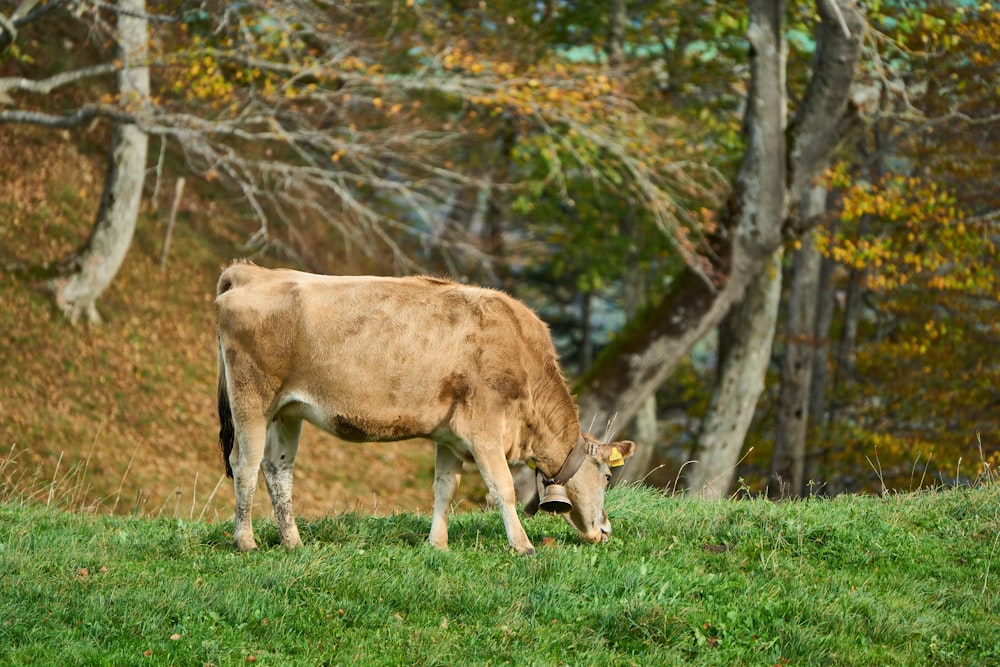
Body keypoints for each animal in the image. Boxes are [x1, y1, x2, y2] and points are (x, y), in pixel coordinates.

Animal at [216, 264, 636, 556]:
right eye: (607, 477)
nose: (605, 531)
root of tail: (251, 272)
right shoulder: (485, 431)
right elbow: (502, 488)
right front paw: (523, 545)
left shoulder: (450, 438)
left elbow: (445, 488)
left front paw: (438, 544)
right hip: (251, 399)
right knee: (245, 465)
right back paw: (246, 542)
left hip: (287, 410)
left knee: (278, 469)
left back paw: (292, 542)